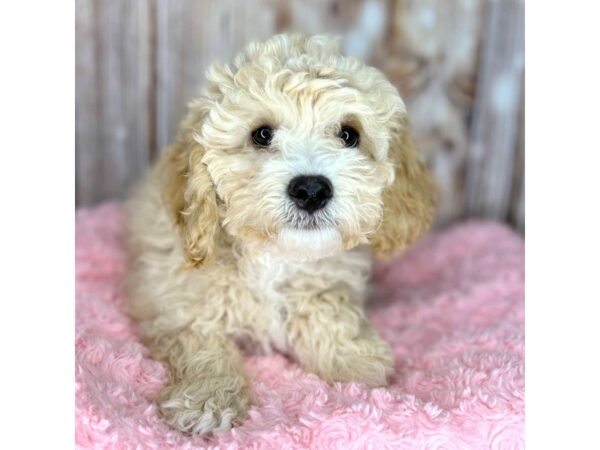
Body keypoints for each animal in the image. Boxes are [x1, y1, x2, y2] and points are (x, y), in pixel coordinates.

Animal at [126, 34, 436, 436]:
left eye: (349, 134)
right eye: (261, 134)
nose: (311, 190)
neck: (274, 256)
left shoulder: (328, 279)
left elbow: (326, 306)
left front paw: (352, 355)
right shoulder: (173, 296)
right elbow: (200, 339)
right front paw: (207, 399)